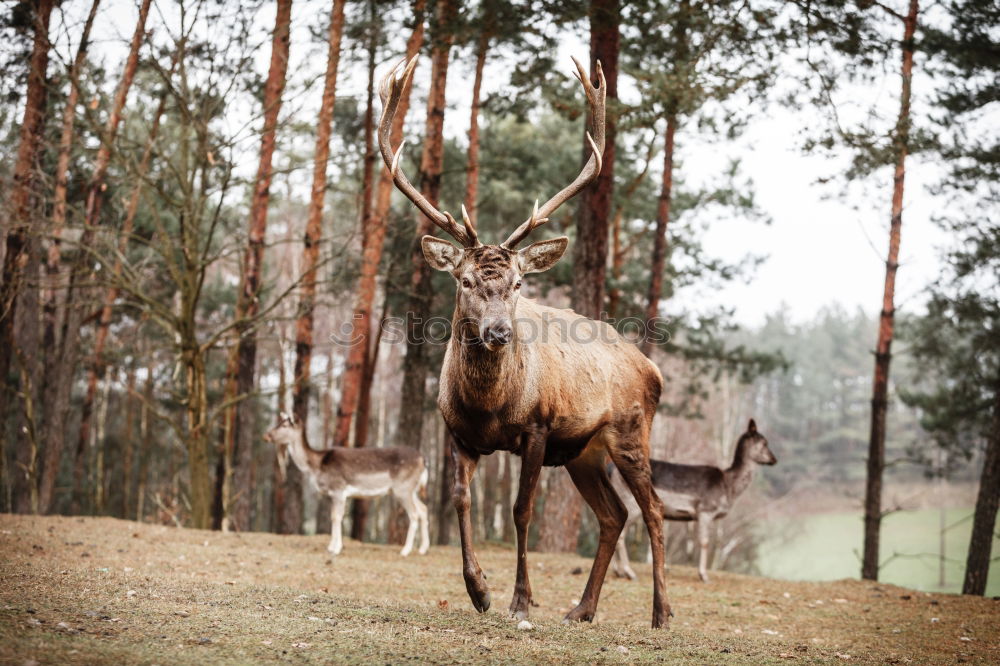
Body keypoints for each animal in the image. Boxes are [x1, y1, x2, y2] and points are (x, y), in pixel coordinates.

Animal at [262, 412, 430, 556]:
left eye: (285, 425)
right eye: (279, 422)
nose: (266, 435)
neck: (316, 467)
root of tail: (423, 460)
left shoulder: (338, 489)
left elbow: (337, 517)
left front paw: (336, 549)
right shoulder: (333, 494)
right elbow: (333, 516)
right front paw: (331, 547)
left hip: (402, 488)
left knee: (414, 514)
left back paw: (405, 551)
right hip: (412, 490)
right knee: (423, 509)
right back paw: (423, 549)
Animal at [380, 57, 672, 628]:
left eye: (518, 283)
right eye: (465, 280)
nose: (498, 331)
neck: (490, 407)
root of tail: (653, 370)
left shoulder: (539, 426)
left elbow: (522, 510)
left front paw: (519, 600)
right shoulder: (456, 432)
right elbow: (460, 500)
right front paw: (478, 591)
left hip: (630, 431)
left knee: (652, 508)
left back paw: (662, 612)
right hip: (585, 451)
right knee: (614, 514)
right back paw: (582, 609)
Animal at [604, 420, 776, 580]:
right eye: (764, 442)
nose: (774, 459)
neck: (728, 488)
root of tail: (609, 469)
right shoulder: (705, 510)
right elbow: (704, 542)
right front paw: (704, 575)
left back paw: (618, 571)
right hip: (631, 503)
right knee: (621, 534)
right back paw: (629, 572)